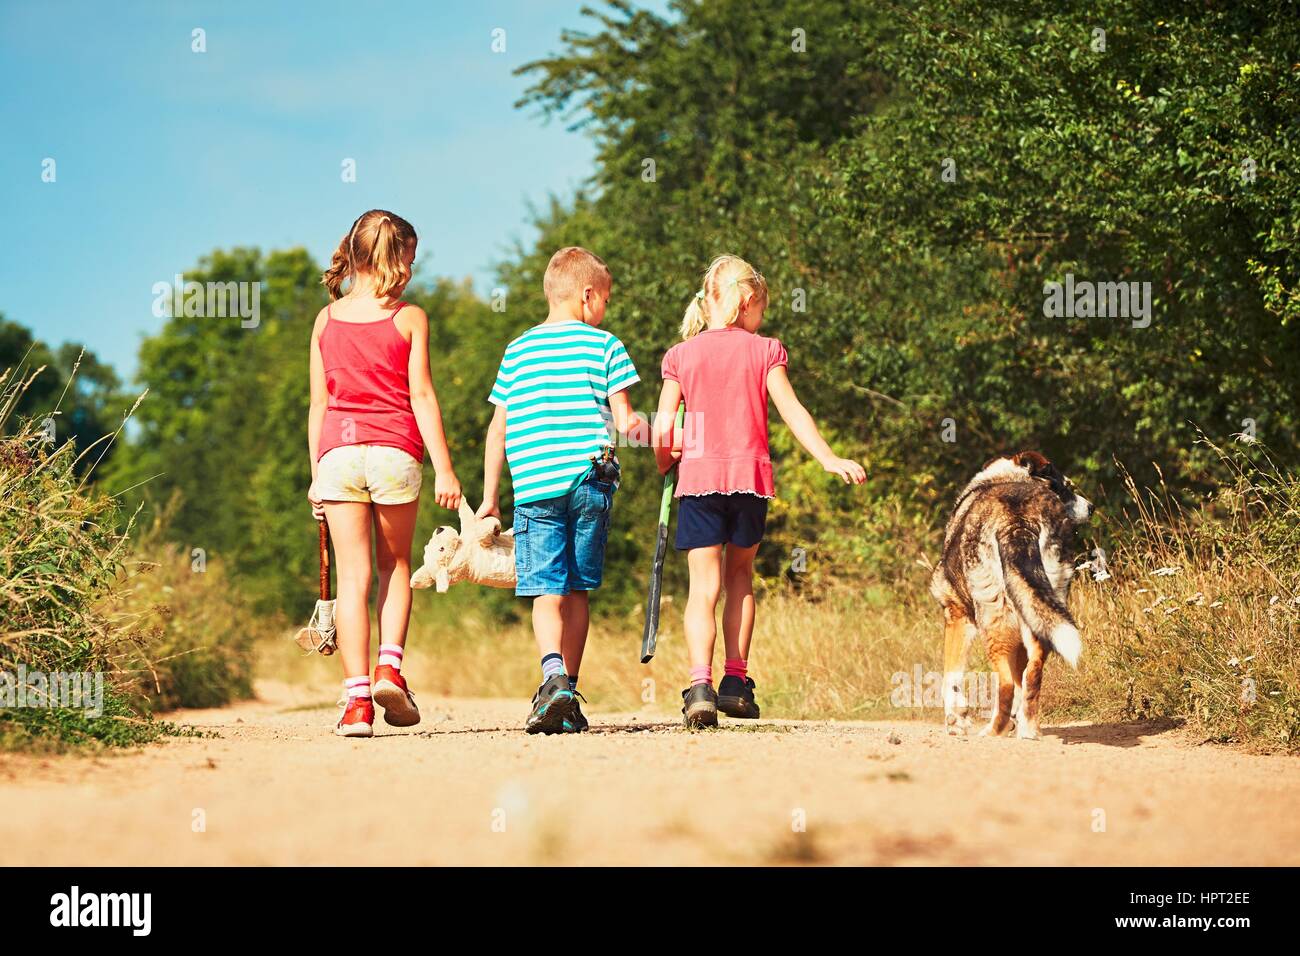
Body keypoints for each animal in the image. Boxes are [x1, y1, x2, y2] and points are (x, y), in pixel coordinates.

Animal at [930, 450, 1092, 738]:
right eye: (1064, 488)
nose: (1092, 507)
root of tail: (1018, 520)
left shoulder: (956, 615)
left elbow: (951, 677)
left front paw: (955, 721)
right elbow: (1021, 679)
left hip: (992, 621)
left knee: (1004, 683)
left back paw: (993, 731)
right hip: (1040, 612)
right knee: (1032, 672)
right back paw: (1028, 730)